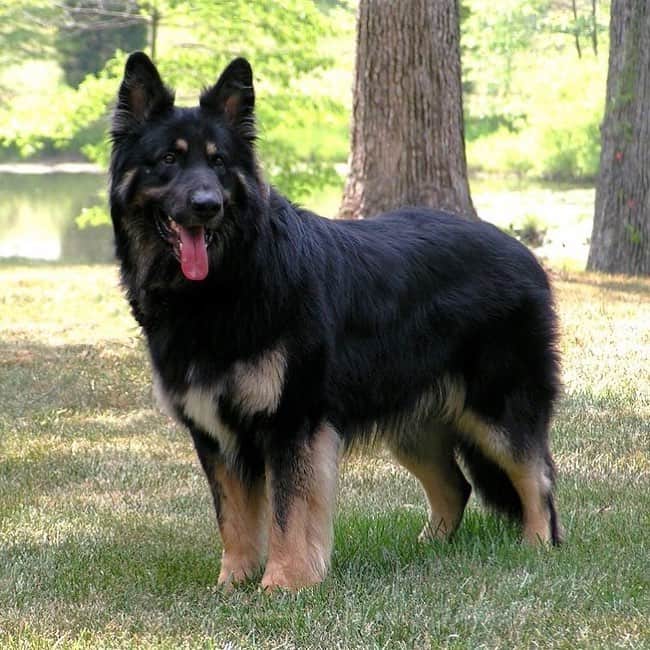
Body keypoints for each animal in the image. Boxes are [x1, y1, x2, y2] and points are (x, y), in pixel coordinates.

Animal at [109, 53, 560, 588]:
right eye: (169, 160)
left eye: (218, 163)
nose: (207, 206)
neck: (230, 278)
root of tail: (525, 254)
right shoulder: (216, 436)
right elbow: (234, 518)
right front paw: (233, 583)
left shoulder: (293, 424)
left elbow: (287, 514)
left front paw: (283, 584)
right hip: (413, 425)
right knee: (456, 486)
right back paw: (428, 551)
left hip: (496, 410)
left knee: (537, 477)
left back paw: (538, 547)